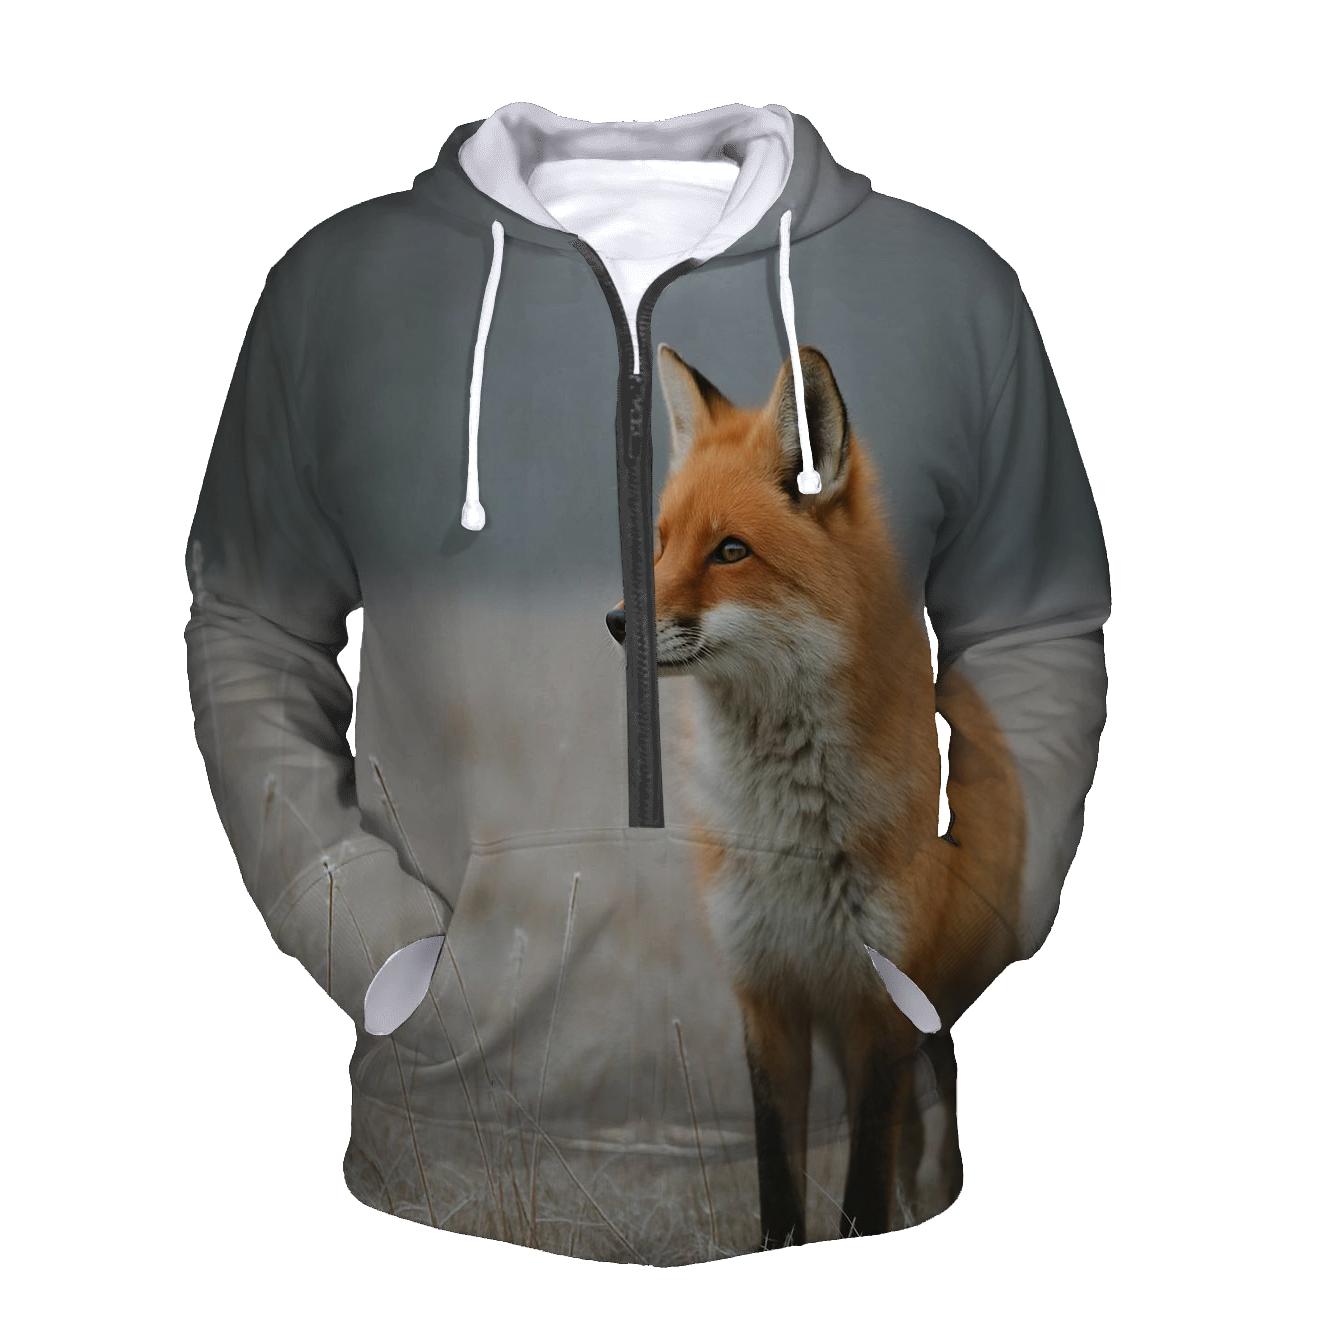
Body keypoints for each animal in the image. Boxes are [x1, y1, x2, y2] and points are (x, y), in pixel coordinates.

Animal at [606, 344, 1026, 1247]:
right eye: (657, 543)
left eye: (730, 551)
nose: (618, 622)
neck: (787, 833)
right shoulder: (768, 994)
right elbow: (779, 1177)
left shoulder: (881, 1004)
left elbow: (863, 1187)